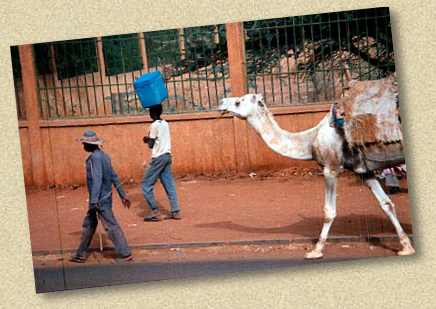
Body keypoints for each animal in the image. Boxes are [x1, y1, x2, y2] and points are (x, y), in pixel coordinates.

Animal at [218, 77, 416, 258]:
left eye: (239, 101)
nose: (221, 102)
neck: (311, 139)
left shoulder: (330, 168)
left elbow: (329, 211)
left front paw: (316, 250)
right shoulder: (364, 170)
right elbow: (386, 204)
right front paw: (406, 247)